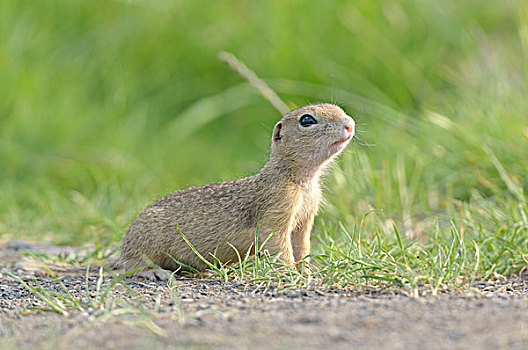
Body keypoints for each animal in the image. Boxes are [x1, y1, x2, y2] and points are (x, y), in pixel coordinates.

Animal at [115, 103, 354, 278]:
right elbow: (279, 246)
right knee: (132, 266)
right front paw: (291, 275)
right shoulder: (277, 208)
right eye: (307, 120)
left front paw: (309, 271)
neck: (302, 180)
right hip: (146, 241)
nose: (350, 124)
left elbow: (301, 247)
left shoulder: (305, 218)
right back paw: (155, 272)